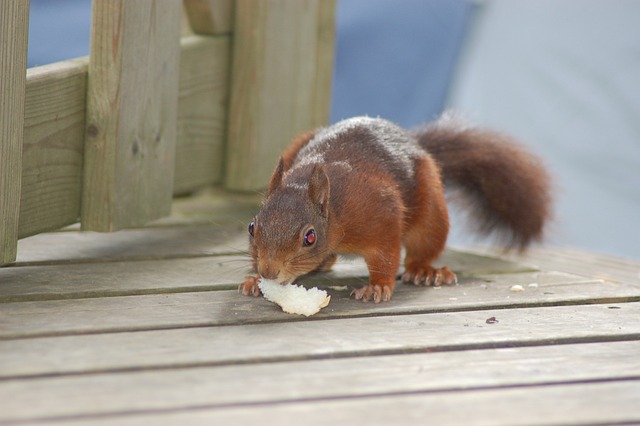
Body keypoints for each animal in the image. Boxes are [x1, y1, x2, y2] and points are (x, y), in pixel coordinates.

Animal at [239, 113, 552, 302]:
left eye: (310, 237)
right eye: (252, 227)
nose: (269, 272)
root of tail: (415, 143)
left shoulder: (380, 212)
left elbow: (386, 255)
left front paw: (378, 286)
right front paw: (254, 280)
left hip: (431, 215)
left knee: (422, 248)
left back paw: (425, 271)